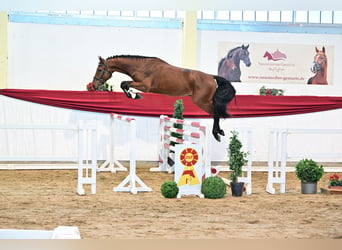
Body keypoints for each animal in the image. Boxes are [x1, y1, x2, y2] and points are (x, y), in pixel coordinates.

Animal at [91, 55, 235, 142]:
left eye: (100, 70)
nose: (94, 85)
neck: (142, 67)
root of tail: (211, 77)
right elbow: (124, 84)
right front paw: (133, 95)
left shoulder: (145, 86)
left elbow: (124, 84)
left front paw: (134, 95)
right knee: (216, 112)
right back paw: (219, 132)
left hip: (201, 101)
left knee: (216, 113)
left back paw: (217, 133)